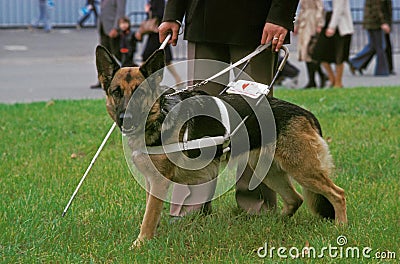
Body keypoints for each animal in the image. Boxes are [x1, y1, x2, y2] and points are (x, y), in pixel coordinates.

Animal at [95, 46, 346, 248]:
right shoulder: (151, 182)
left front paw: (139, 244)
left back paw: (340, 228)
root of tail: (304, 112)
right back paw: (275, 224)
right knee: (296, 199)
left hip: (303, 170)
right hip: (270, 172)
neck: (160, 115)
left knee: (338, 194)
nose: (126, 118)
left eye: (141, 93)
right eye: (117, 92)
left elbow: (148, 218)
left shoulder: (158, 182)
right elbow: (151, 213)